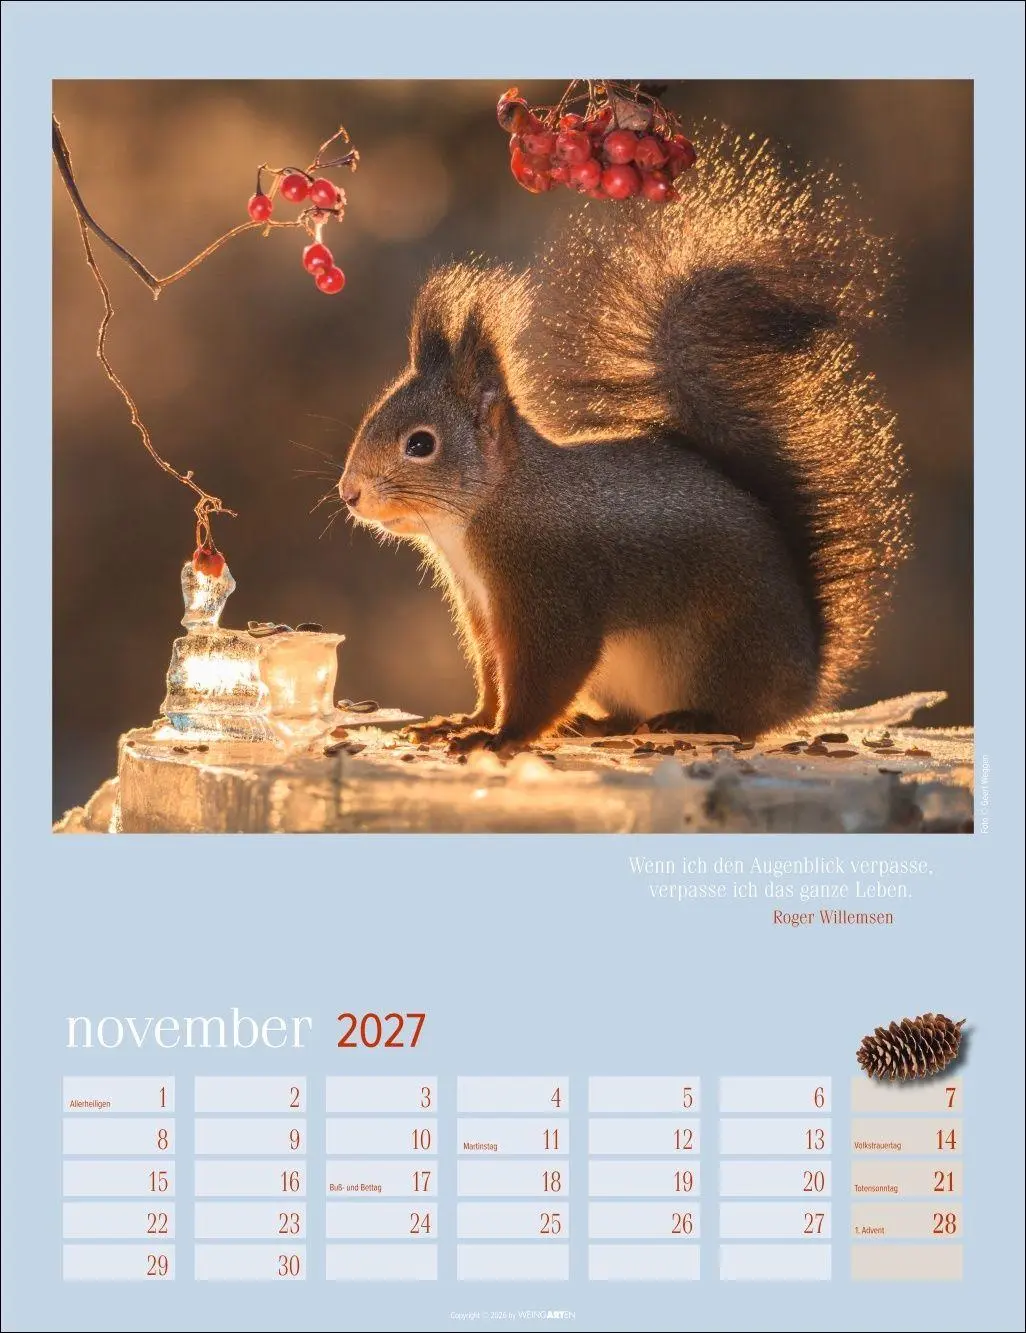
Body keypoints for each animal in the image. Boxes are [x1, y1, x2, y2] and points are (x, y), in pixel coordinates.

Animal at [340, 133, 909, 753]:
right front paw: (466, 721)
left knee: (743, 718)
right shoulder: (483, 611)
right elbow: (492, 675)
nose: (349, 494)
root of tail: (805, 678)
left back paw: (692, 719)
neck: (493, 506)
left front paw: (500, 737)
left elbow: (546, 672)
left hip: (725, 654)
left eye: (421, 444)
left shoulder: (549, 587)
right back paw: (601, 722)